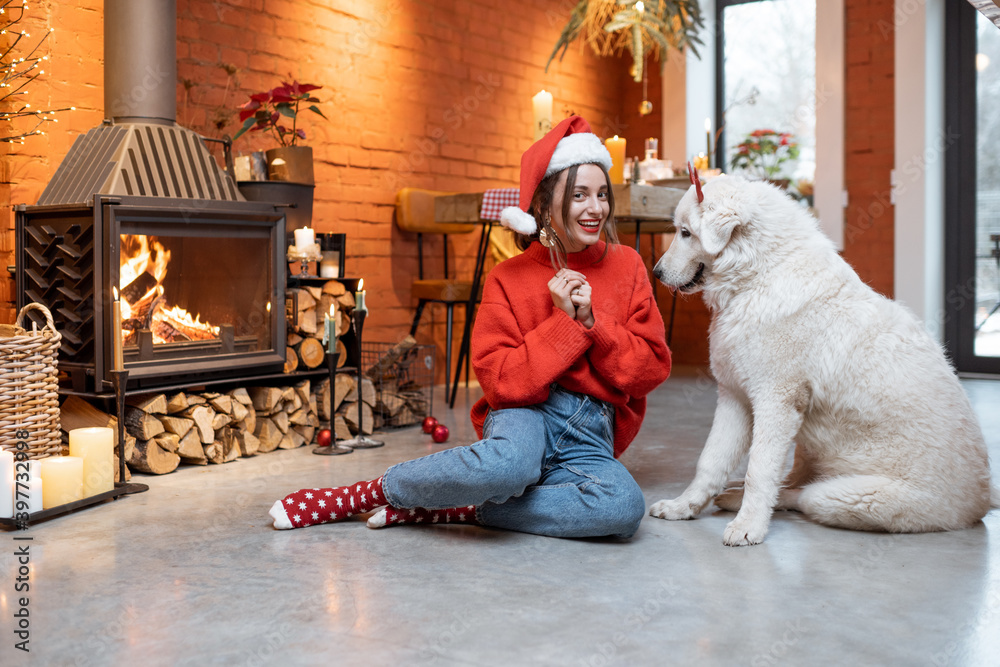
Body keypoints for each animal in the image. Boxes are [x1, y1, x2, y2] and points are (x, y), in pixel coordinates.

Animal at [652, 175, 996, 544]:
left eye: (685, 232)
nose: (655, 273)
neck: (758, 275)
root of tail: (983, 500)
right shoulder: (735, 397)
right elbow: (710, 462)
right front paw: (683, 507)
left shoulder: (776, 402)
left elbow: (759, 470)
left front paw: (749, 526)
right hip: (810, 448)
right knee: (793, 481)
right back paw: (732, 496)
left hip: (843, 496)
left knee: (802, 494)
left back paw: (741, 501)